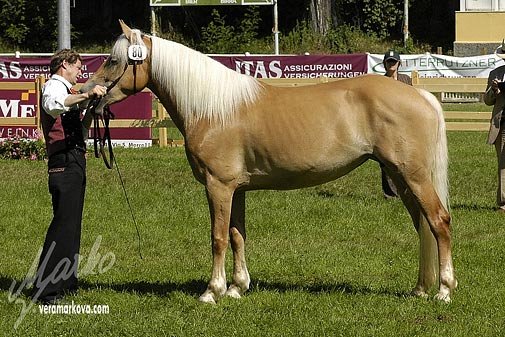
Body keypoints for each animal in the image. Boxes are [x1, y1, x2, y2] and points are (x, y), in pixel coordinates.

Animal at [80, 22, 454, 304]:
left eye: (113, 61)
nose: (88, 94)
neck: (212, 108)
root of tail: (420, 94)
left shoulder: (218, 186)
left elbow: (218, 237)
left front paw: (212, 291)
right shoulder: (236, 189)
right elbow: (237, 235)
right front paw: (236, 287)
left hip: (414, 176)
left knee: (439, 221)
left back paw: (444, 290)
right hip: (401, 178)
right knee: (422, 225)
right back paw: (421, 289)